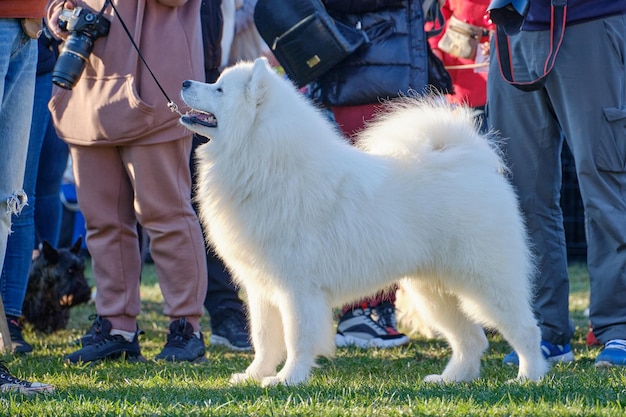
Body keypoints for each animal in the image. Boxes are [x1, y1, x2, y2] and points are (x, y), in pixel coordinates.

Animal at [178, 57, 544, 386]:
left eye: (218, 89)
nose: (184, 82)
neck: (264, 160)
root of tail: (471, 160)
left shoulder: (298, 289)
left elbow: (297, 338)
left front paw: (288, 379)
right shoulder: (261, 288)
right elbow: (264, 338)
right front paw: (254, 375)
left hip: (486, 283)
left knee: (527, 329)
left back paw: (528, 377)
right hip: (434, 292)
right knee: (472, 339)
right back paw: (450, 379)